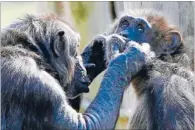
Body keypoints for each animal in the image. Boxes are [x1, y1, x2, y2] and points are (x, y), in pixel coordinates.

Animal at [1, 14, 154, 130]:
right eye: (75, 53)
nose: (80, 64)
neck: (36, 56)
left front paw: (96, 50)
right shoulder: (42, 90)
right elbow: (88, 124)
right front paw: (129, 58)